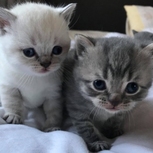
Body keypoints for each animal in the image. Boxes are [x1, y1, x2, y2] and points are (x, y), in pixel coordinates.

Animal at [0, 2, 76, 131]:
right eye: (29, 52)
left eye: (57, 50)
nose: (46, 64)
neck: (33, 77)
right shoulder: (9, 87)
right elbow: (13, 103)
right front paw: (14, 116)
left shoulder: (54, 95)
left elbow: (54, 113)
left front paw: (52, 128)